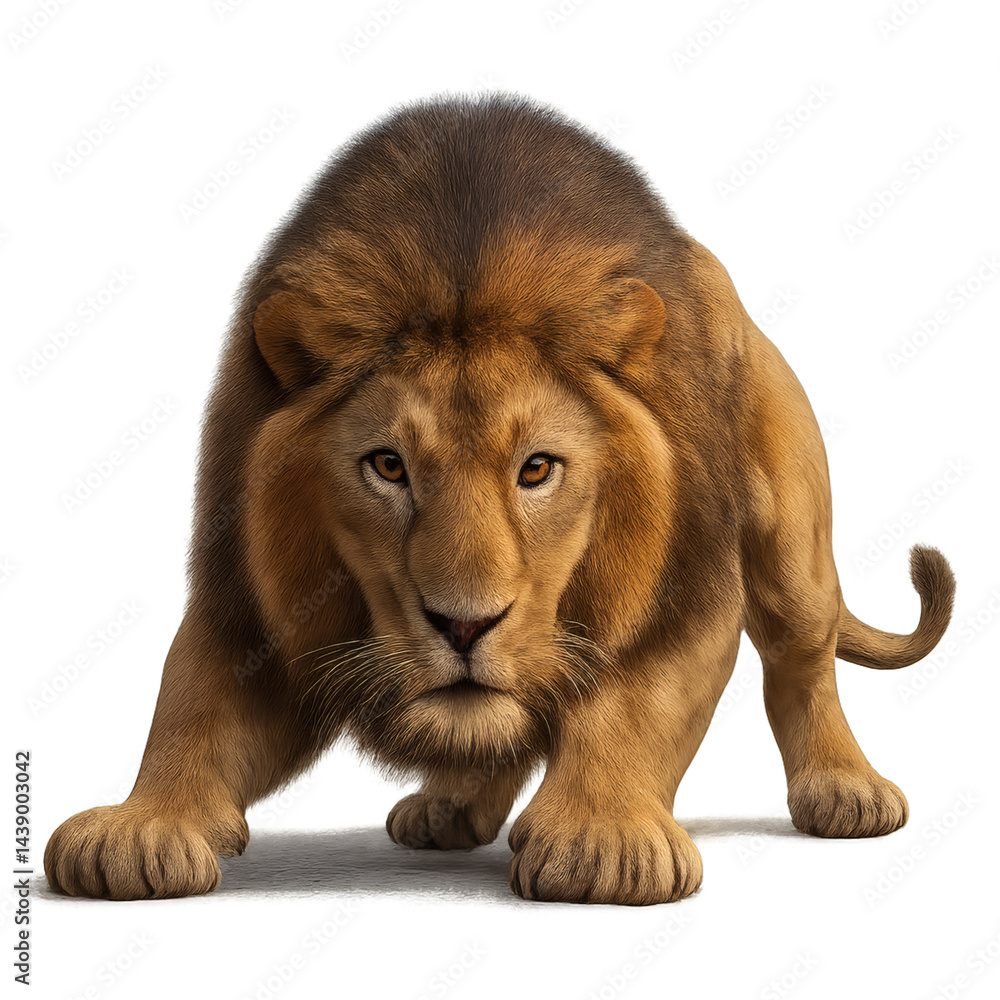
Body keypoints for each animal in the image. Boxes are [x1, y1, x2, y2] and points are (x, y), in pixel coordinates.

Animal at [45, 94, 955, 905]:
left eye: (537, 470)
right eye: (387, 466)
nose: (464, 625)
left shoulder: (688, 589)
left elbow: (633, 703)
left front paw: (603, 843)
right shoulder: (249, 601)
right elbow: (192, 707)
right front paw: (137, 828)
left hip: (788, 528)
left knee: (802, 655)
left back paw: (846, 792)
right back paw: (451, 808)